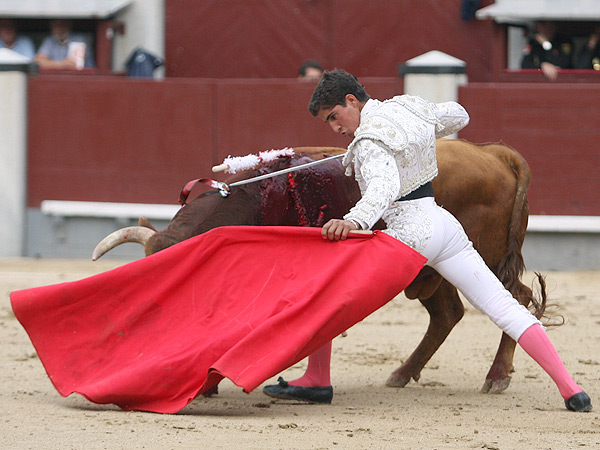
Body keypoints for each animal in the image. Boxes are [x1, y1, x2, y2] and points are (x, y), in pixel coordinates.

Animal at [94, 140, 548, 394]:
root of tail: (492, 153)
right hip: (430, 269)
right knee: (448, 313)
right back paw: (402, 374)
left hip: (485, 258)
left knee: (518, 297)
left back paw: (497, 376)